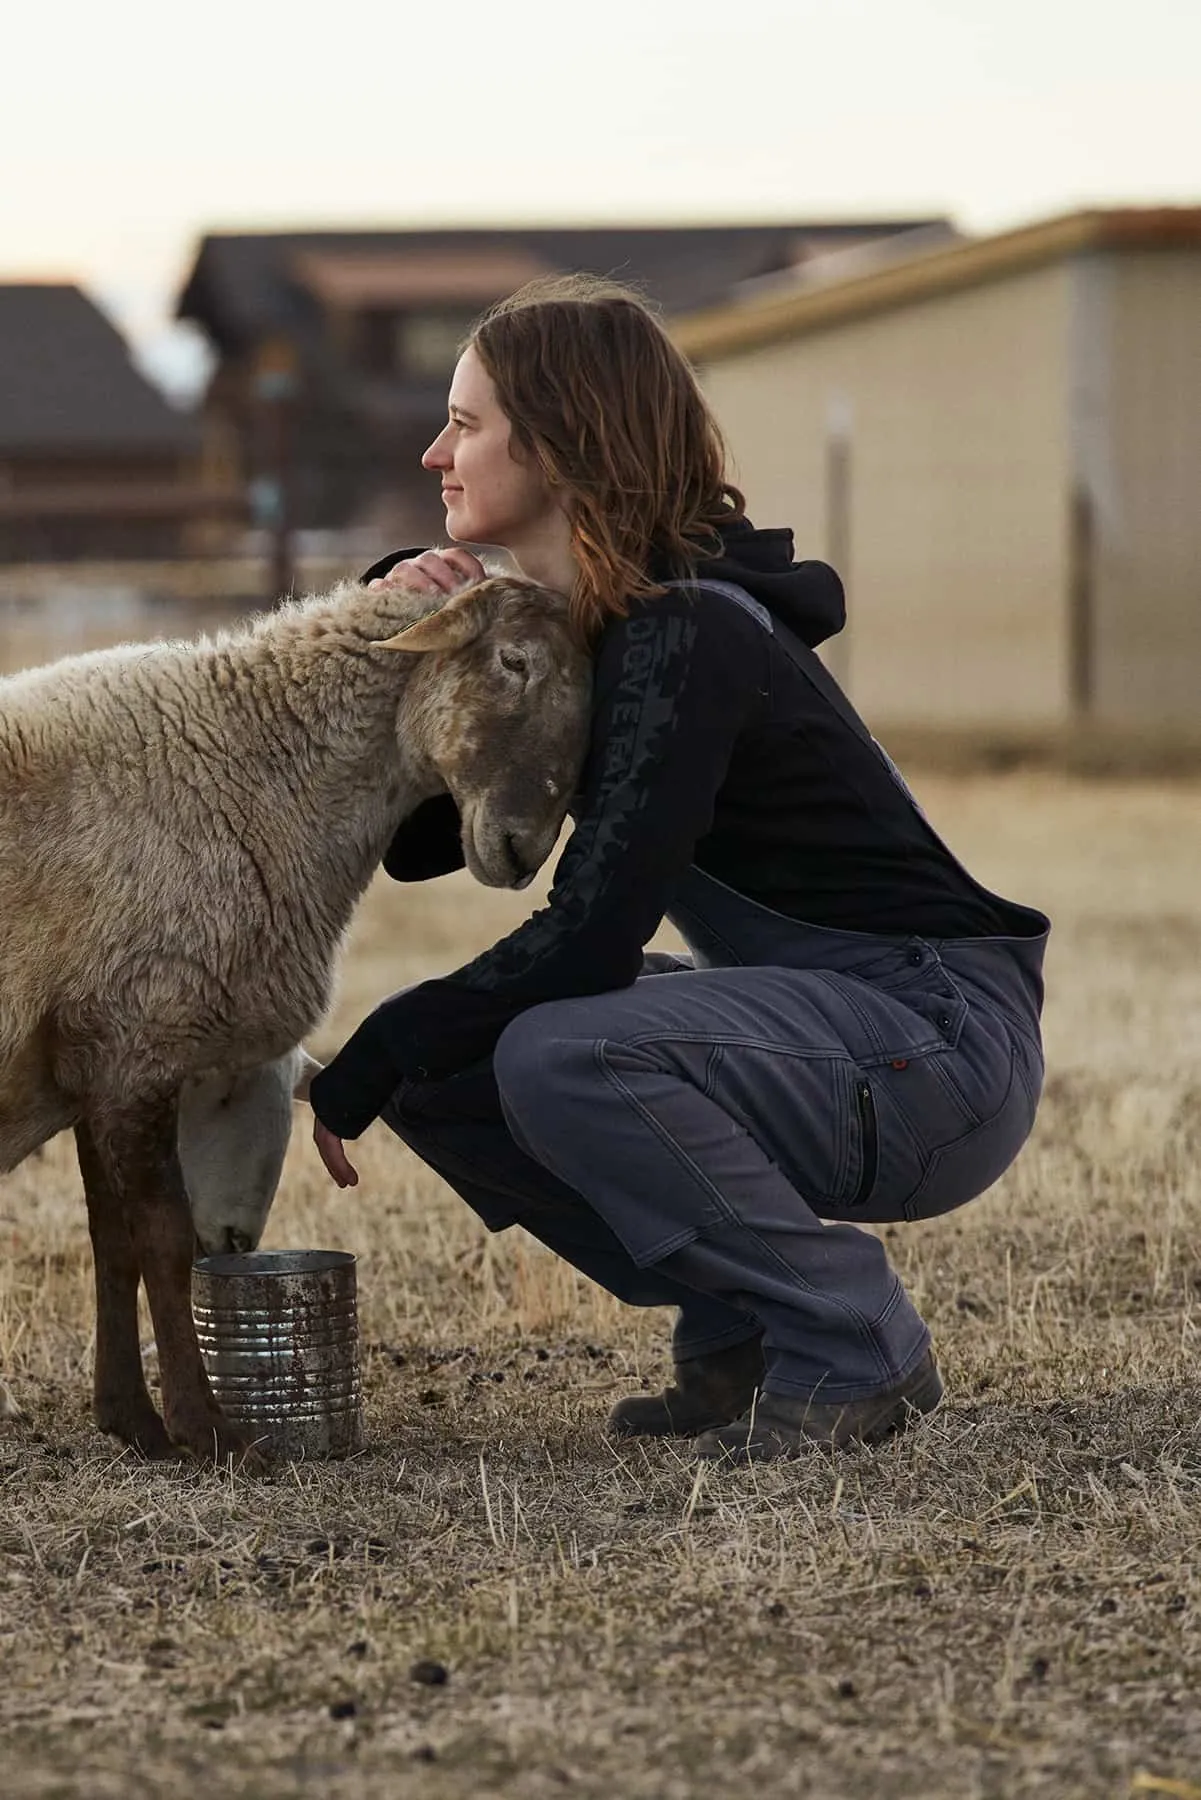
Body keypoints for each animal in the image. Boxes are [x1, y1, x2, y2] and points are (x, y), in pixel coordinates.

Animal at [0, 576, 590, 1461]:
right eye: (513, 661)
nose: (524, 849)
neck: (254, 763)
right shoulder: (139, 1041)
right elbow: (162, 1242)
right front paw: (204, 1432)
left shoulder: (97, 1058)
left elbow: (113, 1245)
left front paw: (132, 1421)